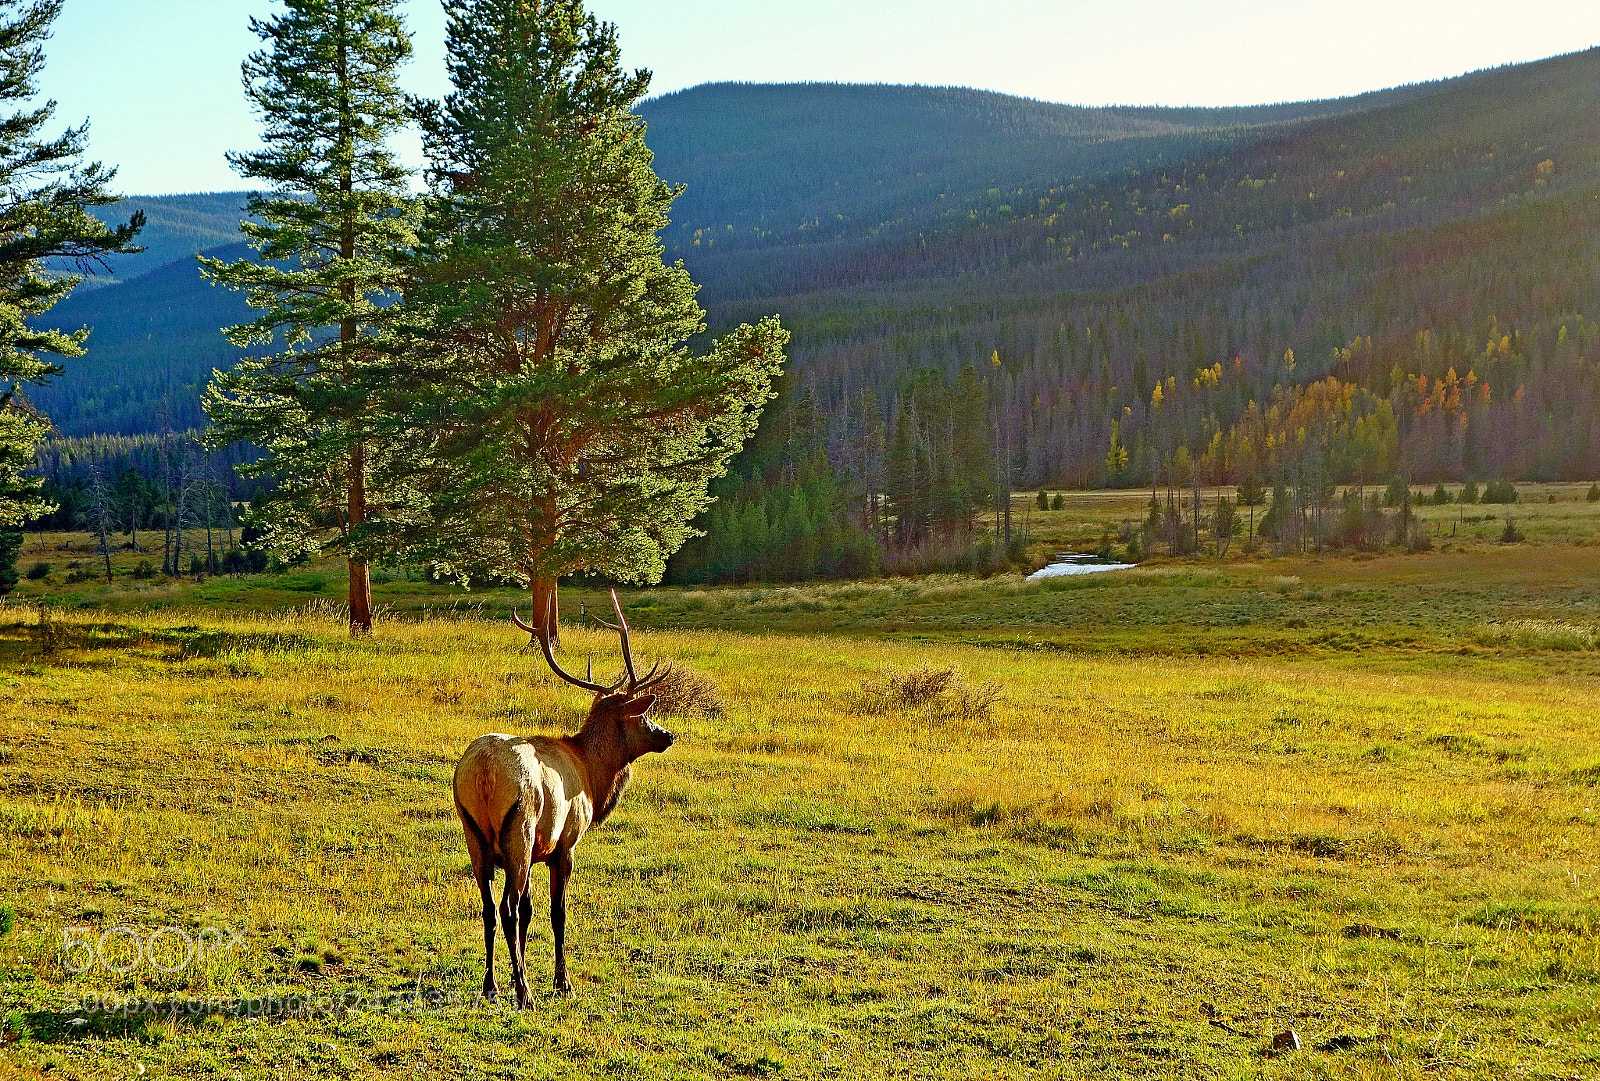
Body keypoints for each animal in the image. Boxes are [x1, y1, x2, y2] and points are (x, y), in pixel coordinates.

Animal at [453, 589, 673, 1005]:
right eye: (640, 716)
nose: (667, 735)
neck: (592, 775)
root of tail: (483, 773)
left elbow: (529, 911)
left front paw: (517, 973)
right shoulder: (565, 843)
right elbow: (557, 912)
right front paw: (560, 981)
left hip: (474, 833)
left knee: (489, 908)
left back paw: (492, 985)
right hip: (519, 828)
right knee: (505, 908)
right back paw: (525, 993)